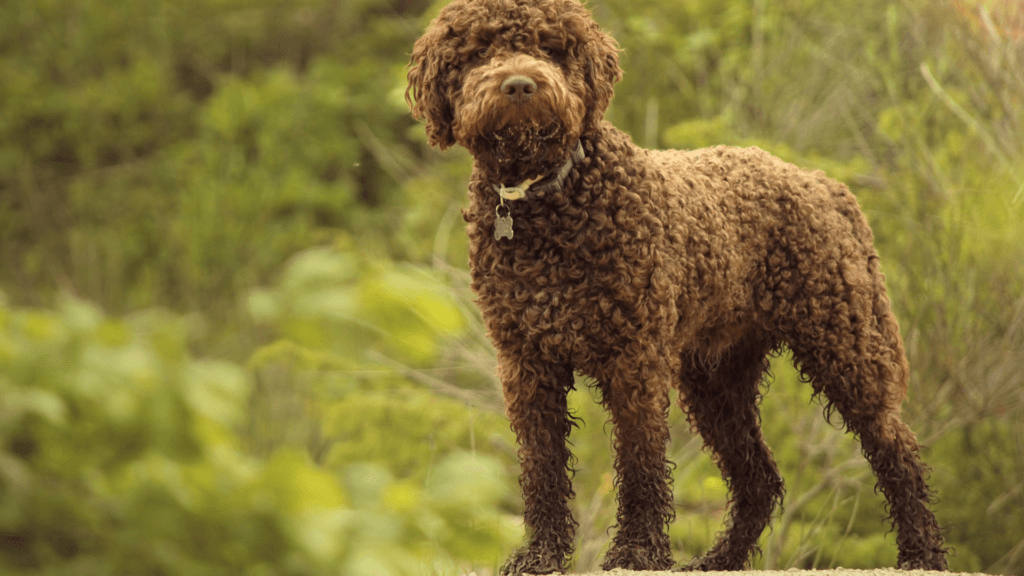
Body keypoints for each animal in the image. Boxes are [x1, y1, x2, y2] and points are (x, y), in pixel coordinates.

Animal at [403, 0, 946, 569]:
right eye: (479, 51)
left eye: (552, 48)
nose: (519, 85)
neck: (551, 204)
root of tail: (822, 182)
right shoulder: (527, 362)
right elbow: (542, 466)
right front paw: (543, 554)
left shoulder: (634, 357)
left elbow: (640, 462)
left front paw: (637, 550)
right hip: (716, 379)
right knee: (759, 479)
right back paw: (720, 560)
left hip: (843, 345)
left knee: (897, 449)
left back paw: (922, 552)